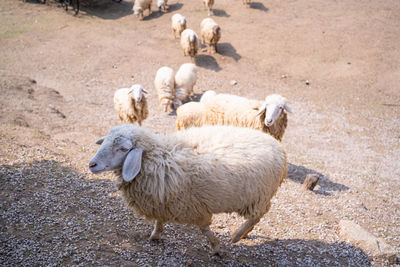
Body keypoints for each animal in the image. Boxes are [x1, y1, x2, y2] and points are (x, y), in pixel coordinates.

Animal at [88, 124, 288, 256]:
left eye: (123, 149)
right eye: (105, 141)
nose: (92, 164)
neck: (158, 157)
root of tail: (278, 147)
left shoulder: (195, 208)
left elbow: (204, 229)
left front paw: (216, 247)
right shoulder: (163, 200)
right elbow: (159, 220)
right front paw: (155, 235)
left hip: (257, 197)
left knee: (258, 215)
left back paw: (237, 236)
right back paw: (244, 234)